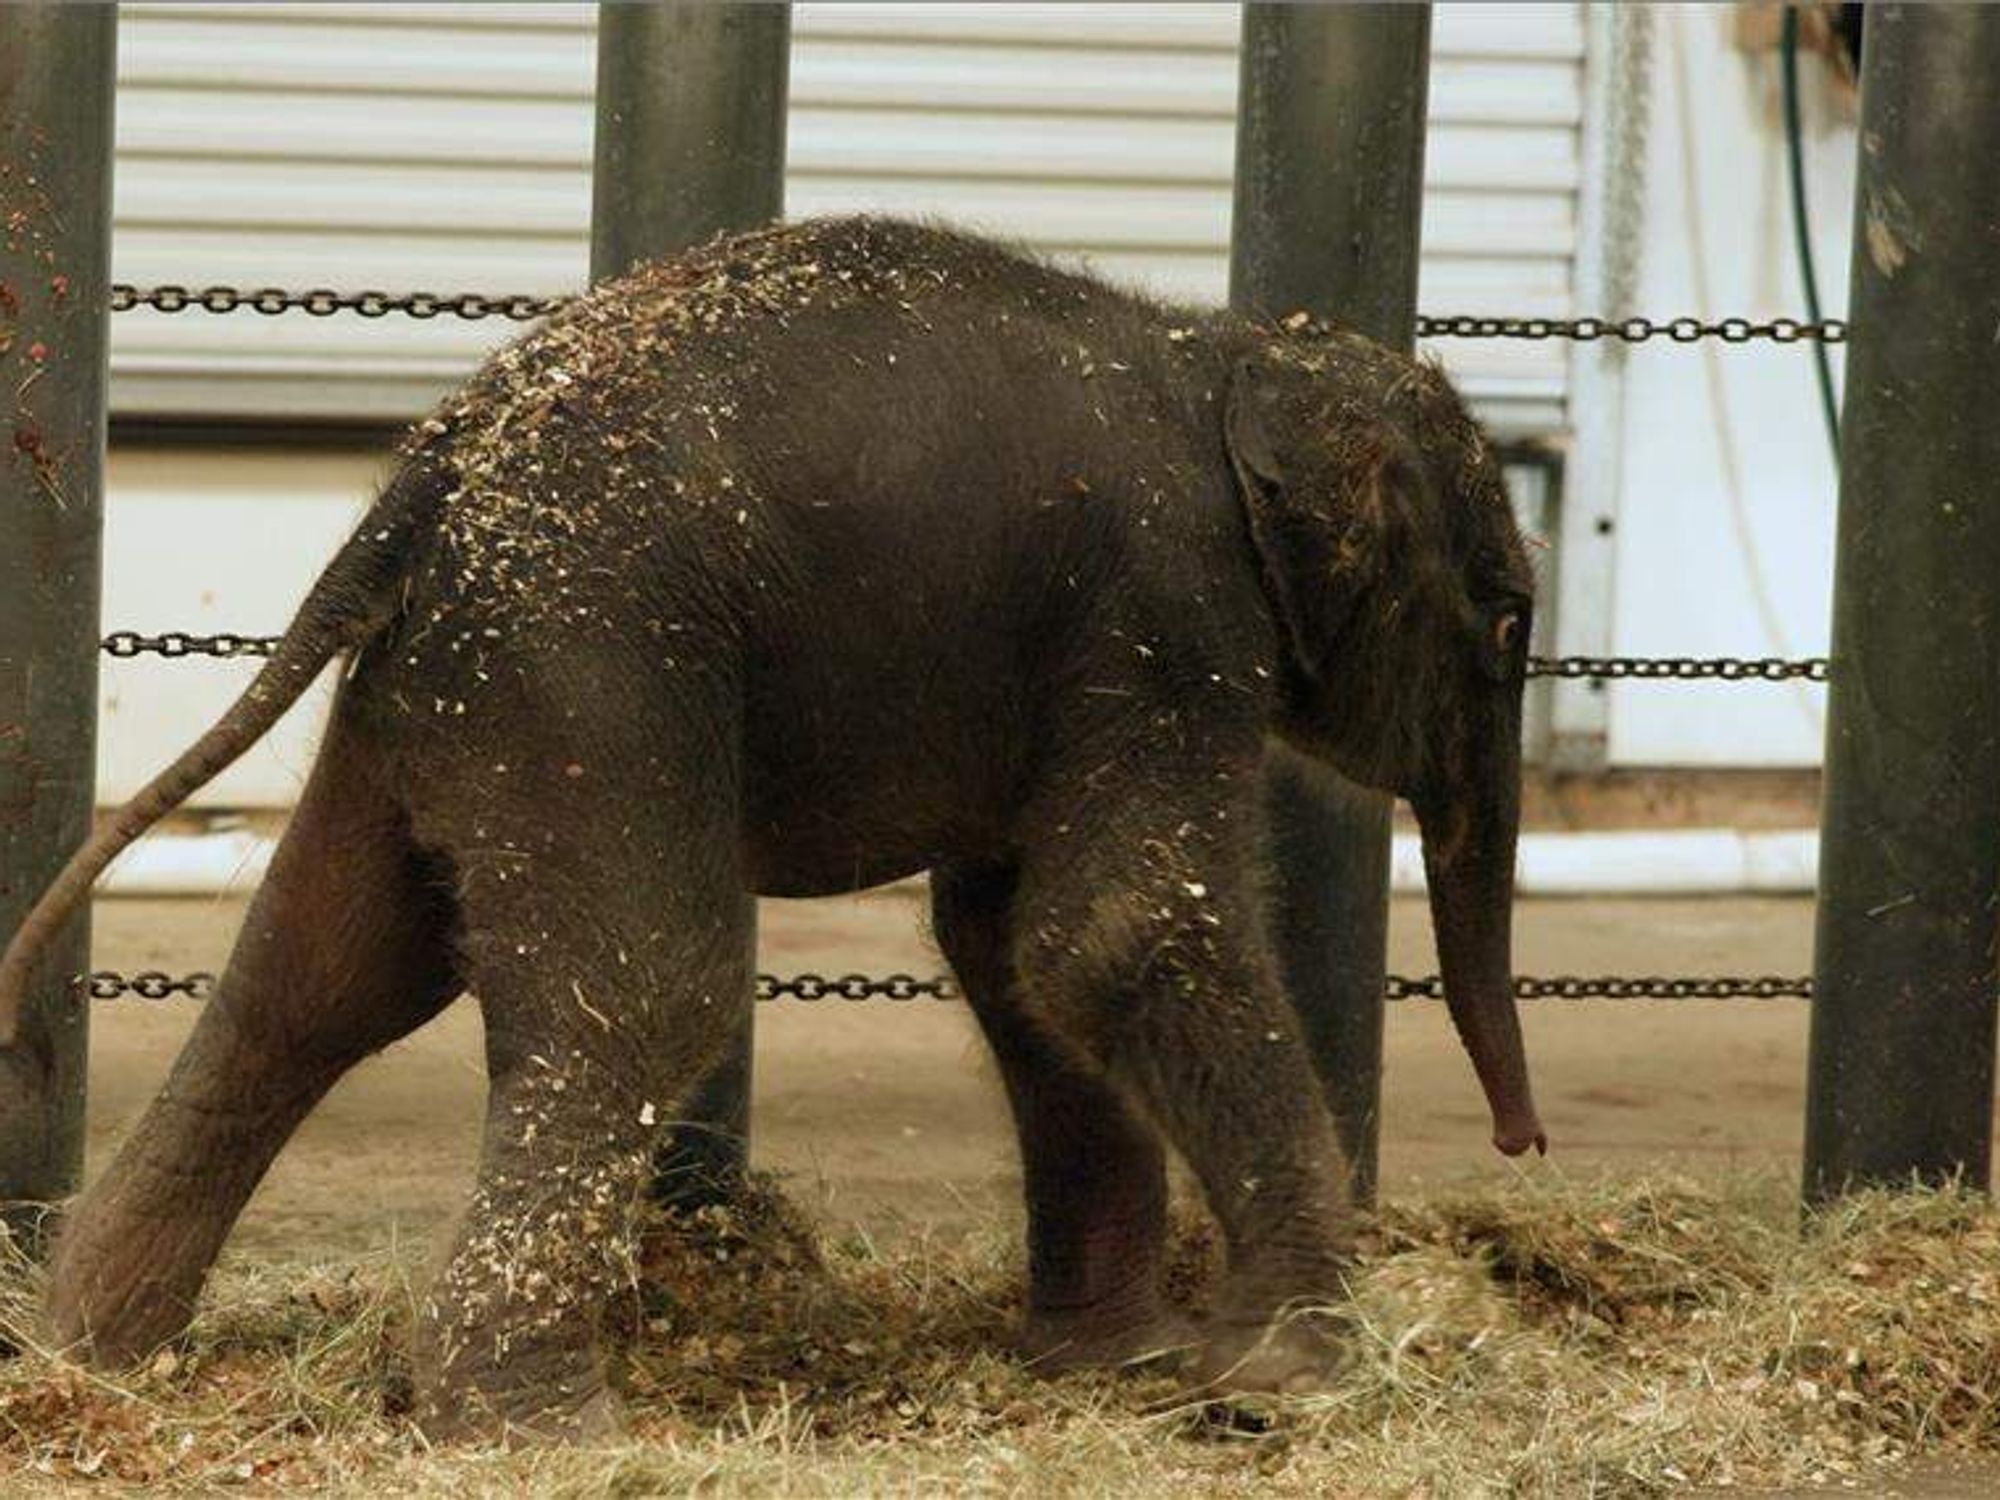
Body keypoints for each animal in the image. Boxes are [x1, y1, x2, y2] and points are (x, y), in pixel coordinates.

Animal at [0, 216, 1543, 1441]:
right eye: (1509, 620)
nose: (1521, 1147)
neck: (1235, 353)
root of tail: (420, 483)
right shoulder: (1165, 620)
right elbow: (1118, 935)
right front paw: (1283, 1377)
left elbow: (1014, 952)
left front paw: (1125, 1365)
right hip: (589, 669)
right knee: (640, 992)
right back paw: (539, 1431)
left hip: (443, 687)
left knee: (317, 978)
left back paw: (93, 1350)